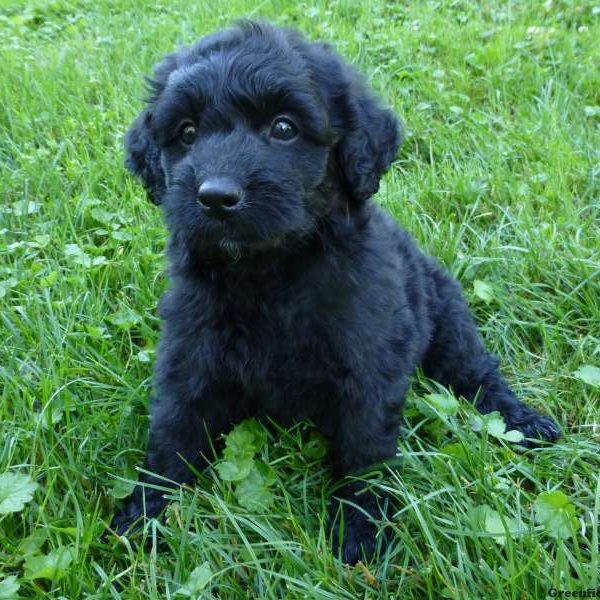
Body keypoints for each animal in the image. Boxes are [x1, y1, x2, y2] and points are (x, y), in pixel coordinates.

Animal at [113, 18, 564, 564]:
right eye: (187, 133)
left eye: (284, 127)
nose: (216, 197)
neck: (268, 272)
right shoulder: (189, 359)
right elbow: (173, 435)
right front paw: (144, 515)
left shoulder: (368, 369)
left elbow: (364, 455)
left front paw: (362, 534)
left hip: (448, 316)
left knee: (476, 374)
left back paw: (521, 420)